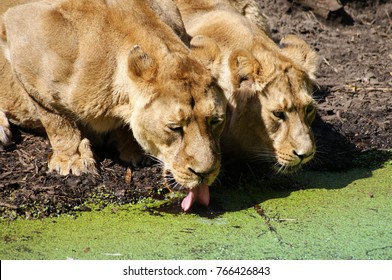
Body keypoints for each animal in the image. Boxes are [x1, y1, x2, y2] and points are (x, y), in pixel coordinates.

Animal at [0, 0, 225, 210]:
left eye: (215, 121)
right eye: (175, 128)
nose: (205, 173)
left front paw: (133, 150)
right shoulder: (21, 31)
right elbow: (56, 118)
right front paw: (72, 160)